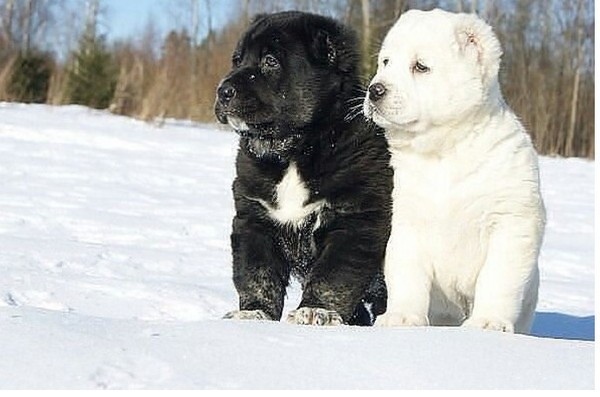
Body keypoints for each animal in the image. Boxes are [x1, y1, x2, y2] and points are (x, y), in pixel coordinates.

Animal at [216, 11, 394, 324]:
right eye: (237, 60)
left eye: (270, 61)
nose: (222, 90)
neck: (295, 150)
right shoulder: (254, 219)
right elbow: (257, 274)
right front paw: (253, 313)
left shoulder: (356, 220)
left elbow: (333, 276)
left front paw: (314, 311)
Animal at [364, 7, 548, 332]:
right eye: (386, 62)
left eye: (420, 66)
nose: (375, 90)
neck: (445, 152)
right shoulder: (409, 221)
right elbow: (406, 274)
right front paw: (401, 318)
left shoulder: (511, 221)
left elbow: (498, 278)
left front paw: (488, 322)